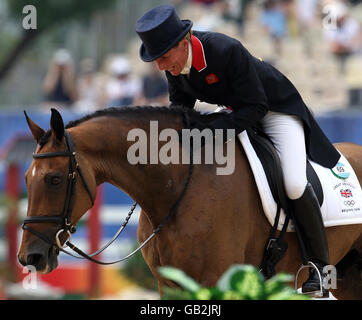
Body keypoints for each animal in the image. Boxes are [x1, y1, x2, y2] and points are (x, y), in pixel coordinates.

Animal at [17, 107, 362, 300]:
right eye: (26, 179)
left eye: (54, 179)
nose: (29, 258)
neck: (176, 188)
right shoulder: (169, 285)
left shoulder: (216, 281)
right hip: (347, 279)